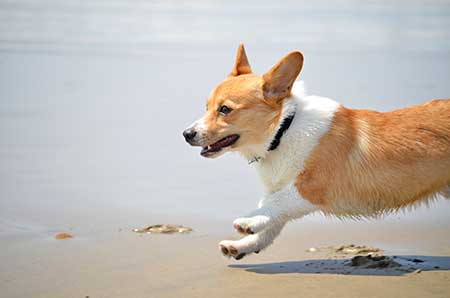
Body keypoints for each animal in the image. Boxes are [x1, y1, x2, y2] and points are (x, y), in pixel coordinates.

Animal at [182, 43, 450, 260]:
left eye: (225, 109)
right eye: (206, 107)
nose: (186, 134)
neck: (283, 130)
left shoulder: (311, 187)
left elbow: (274, 203)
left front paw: (248, 221)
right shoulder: (286, 192)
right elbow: (272, 218)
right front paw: (244, 244)